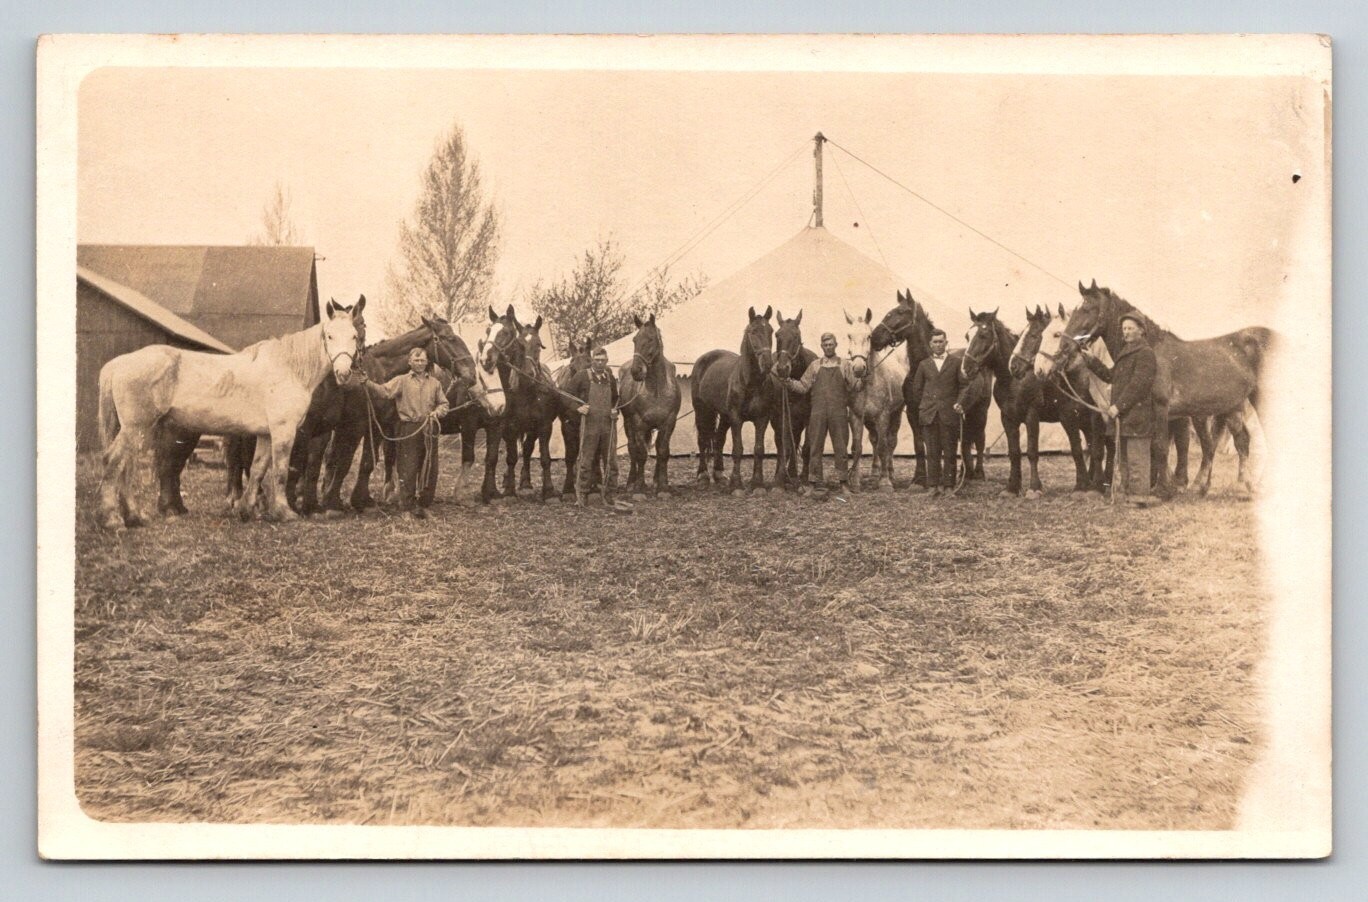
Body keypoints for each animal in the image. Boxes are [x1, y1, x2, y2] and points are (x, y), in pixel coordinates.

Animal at [97, 298, 364, 528]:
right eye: (329, 336)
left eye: (354, 335)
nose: (343, 373)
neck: (289, 369)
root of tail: (118, 364)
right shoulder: (284, 431)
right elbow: (280, 471)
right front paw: (284, 512)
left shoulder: (265, 434)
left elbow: (258, 469)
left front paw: (246, 510)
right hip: (137, 427)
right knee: (114, 461)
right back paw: (112, 519)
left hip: (138, 430)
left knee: (127, 466)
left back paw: (134, 517)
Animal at [618, 314, 683, 499]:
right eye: (634, 340)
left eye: (651, 339)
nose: (636, 371)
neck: (656, 390)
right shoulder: (638, 424)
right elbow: (640, 454)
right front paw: (639, 488)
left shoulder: (668, 423)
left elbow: (663, 452)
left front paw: (663, 487)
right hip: (628, 424)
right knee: (632, 449)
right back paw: (631, 483)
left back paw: (656, 482)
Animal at [691, 306, 777, 496]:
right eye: (753, 332)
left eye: (771, 331)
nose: (767, 364)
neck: (751, 383)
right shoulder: (736, 418)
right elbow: (738, 449)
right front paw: (737, 484)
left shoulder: (762, 418)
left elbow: (759, 449)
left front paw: (757, 484)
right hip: (702, 410)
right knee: (702, 440)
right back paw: (703, 477)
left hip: (724, 415)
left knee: (719, 440)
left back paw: (719, 475)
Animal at [843, 307, 909, 492]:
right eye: (849, 336)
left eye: (869, 336)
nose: (858, 368)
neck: (868, 383)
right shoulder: (856, 416)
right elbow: (857, 447)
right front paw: (855, 481)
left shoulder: (883, 416)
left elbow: (883, 446)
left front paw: (885, 482)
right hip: (869, 419)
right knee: (873, 439)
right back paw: (874, 472)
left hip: (896, 414)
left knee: (890, 442)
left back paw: (890, 473)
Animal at [1036, 280, 1273, 496]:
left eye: (1087, 308)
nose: (1043, 367)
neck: (1151, 350)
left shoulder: (1160, 408)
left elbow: (1159, 446)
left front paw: (1162, 489)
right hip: (1231, 406)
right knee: (1239, 441)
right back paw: (1238, 486)